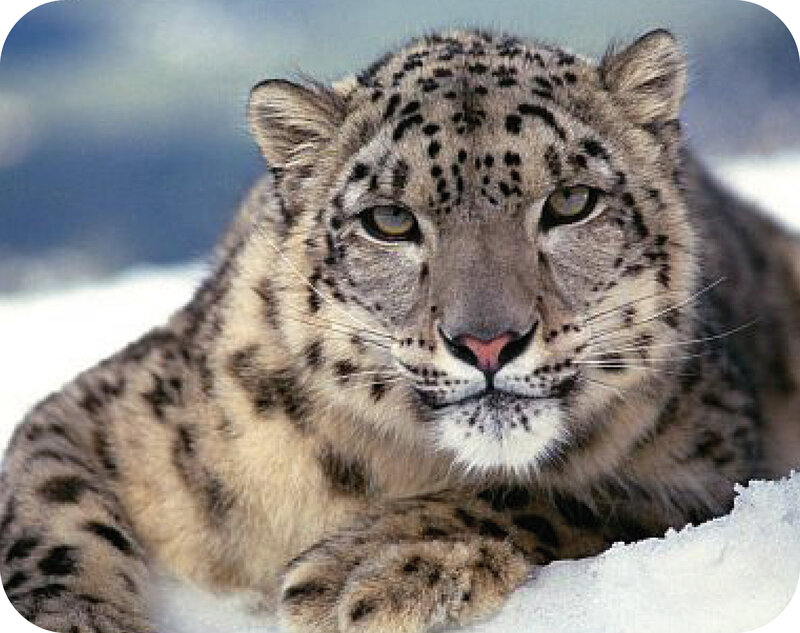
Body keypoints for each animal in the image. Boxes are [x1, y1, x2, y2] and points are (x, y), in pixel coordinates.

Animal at [2, 27, 799, 633]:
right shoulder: (98, 413)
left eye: (572, 202)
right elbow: (51, 520)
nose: (487, 340)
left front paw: (363, 571)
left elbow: (564, 494)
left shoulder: (710, 466)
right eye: (389, 219)